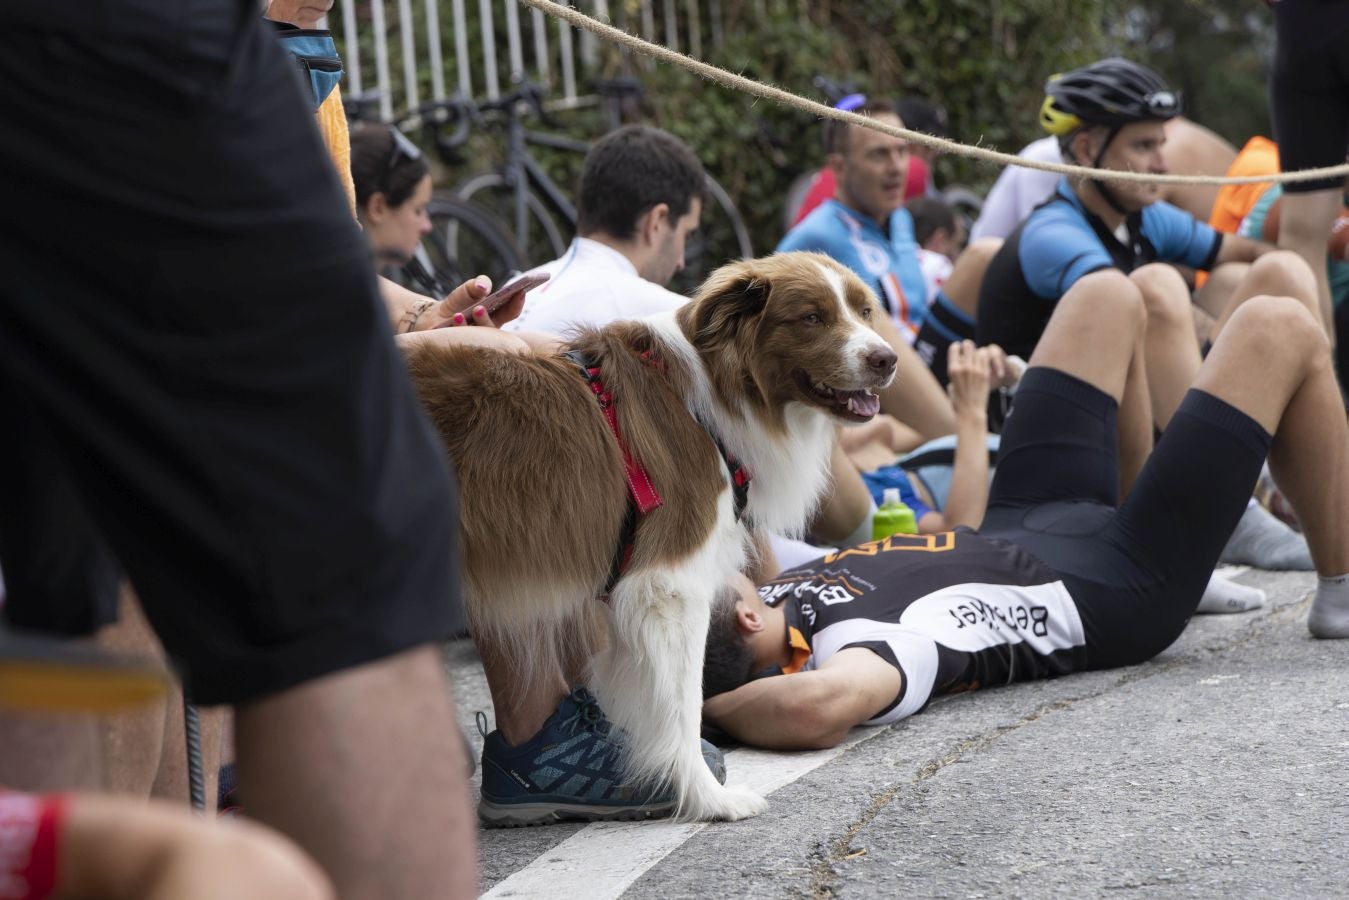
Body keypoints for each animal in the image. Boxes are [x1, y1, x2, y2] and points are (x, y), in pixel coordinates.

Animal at [407, 249, 895, 820]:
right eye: (812, 318)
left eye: (864, 311)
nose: (888, 360)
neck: (715, 395)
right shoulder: (669, 588)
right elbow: (681, 705)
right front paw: (706, 797)